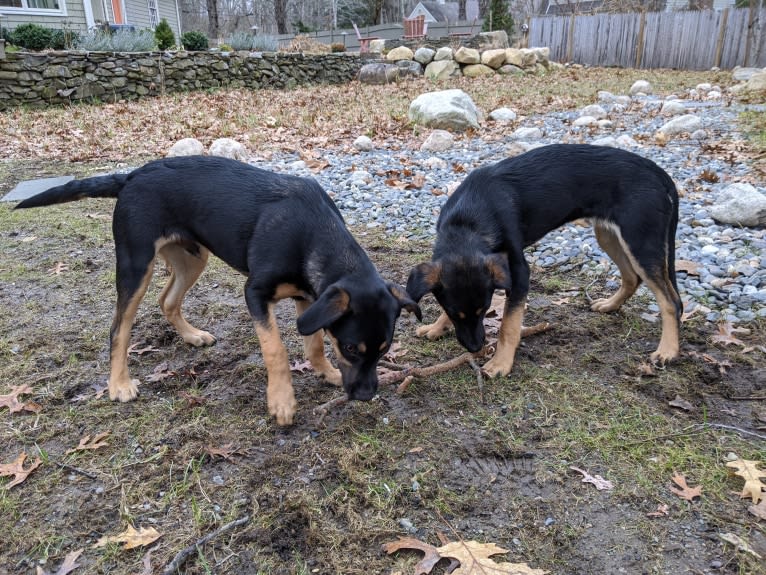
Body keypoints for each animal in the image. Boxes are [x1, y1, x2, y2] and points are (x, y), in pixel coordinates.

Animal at [13, 155, 420, 426]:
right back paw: (120, 384)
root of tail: (132, 175)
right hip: (136, 263)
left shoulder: (310, 297)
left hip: (192, 257)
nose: (366, 396)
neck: (313, 232)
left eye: (385, 350)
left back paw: (192, 336)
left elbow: (315, 341)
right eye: (351, 348)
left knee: (167, 301)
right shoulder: (255, 293)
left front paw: (325, 371)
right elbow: (276, 349)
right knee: (119, 328)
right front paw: (282, 401)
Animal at [408, 144, 684, 378]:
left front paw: (500, 363)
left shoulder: (519, 273)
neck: (467, 220)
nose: (476, 348)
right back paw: (610, 305)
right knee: (632, 277)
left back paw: (668, 350)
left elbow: (509, 325)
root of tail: (657, 172)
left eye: (486, 309)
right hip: (608, 234)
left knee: (670, 301)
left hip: (640, 241)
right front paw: (436, 327)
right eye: (454, 313)